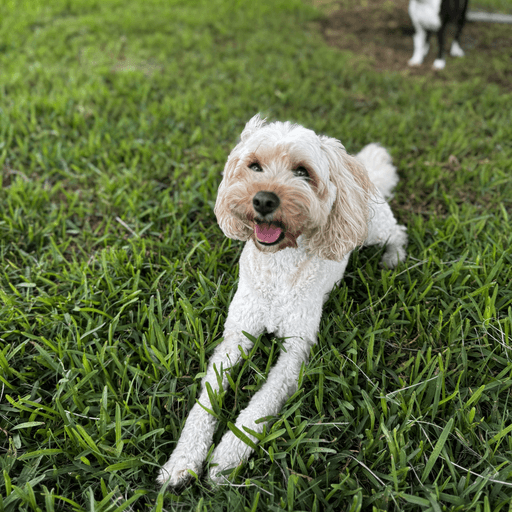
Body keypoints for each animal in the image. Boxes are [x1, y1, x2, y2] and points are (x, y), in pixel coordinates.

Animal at [158, 114, 406, 486]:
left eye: (303, 171)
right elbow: (205, 401)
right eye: (254, 166)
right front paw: (182, 460)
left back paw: (394, 257)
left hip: (372, 227)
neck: (277, 266)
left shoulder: (295, 352)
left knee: (398, 232)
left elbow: (262, 402)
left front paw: (228, 455)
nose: (263, 200)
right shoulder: (237, 335)